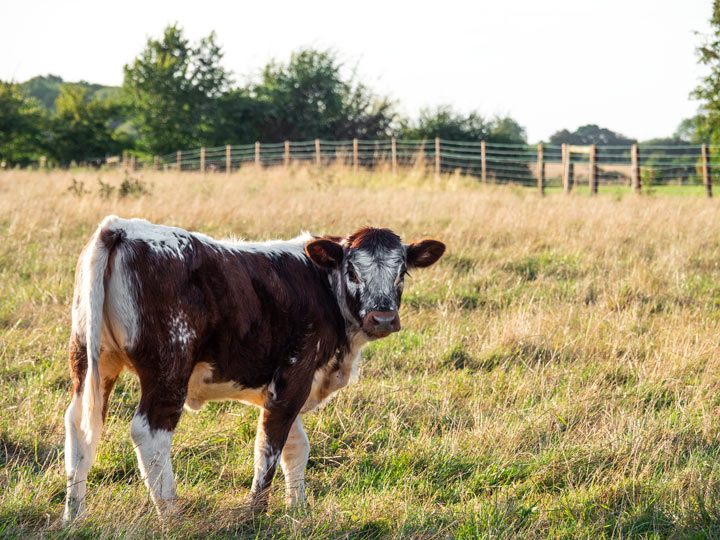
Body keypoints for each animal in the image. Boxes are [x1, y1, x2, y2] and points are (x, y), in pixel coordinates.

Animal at [63, 215, 444, 520]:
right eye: (352, 271)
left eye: (402, 272)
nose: (383, 318)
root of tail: (122, 228)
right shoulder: (293, 377)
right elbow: (269, 448)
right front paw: (256, 513)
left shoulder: (288, 386)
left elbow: (296, 448)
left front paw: (297, 509)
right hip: (168, 369)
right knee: (150, 433)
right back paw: (172, 514)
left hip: (89, 358)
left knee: (80, 426)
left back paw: (74, 515)